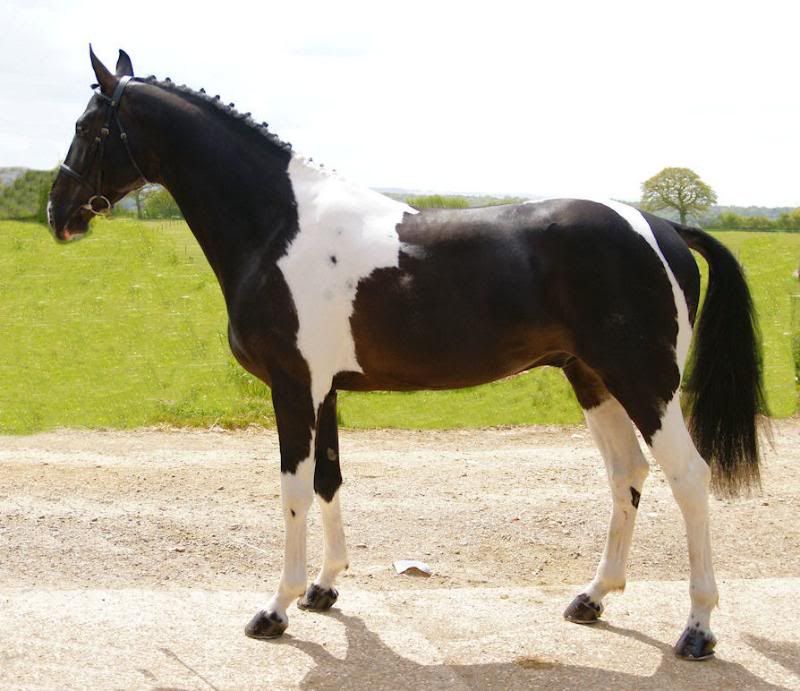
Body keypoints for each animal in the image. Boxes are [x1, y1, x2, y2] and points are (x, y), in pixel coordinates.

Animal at [48, 48, 766, 660]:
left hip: (645, 381)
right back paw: (592, 599)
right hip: (593, 378)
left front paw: (276, 609)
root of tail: (663, 226)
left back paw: (697, 630)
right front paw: (323, 589)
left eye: (88, 126)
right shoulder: (325, 389)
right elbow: (329, 479)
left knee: (687, 477)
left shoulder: (293, 386)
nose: (58, 215)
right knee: (627, 475)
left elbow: (293, 489)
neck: (279, 227)